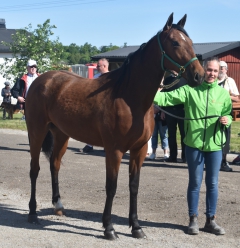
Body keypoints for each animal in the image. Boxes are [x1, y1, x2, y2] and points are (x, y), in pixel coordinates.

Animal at [24, 13, 204, 240]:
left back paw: (58, 205)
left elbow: (134, 186)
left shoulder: (139, 150)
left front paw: (136, 227)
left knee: (54, 165)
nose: (199, 75)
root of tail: (42, 80)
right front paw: (109, 228)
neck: (129, 97)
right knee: (34, 169)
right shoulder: (114, 150)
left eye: (191, 42)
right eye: (175, 43)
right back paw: (32, 213)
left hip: (62, 135)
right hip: (37, 132)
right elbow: (112, 186)